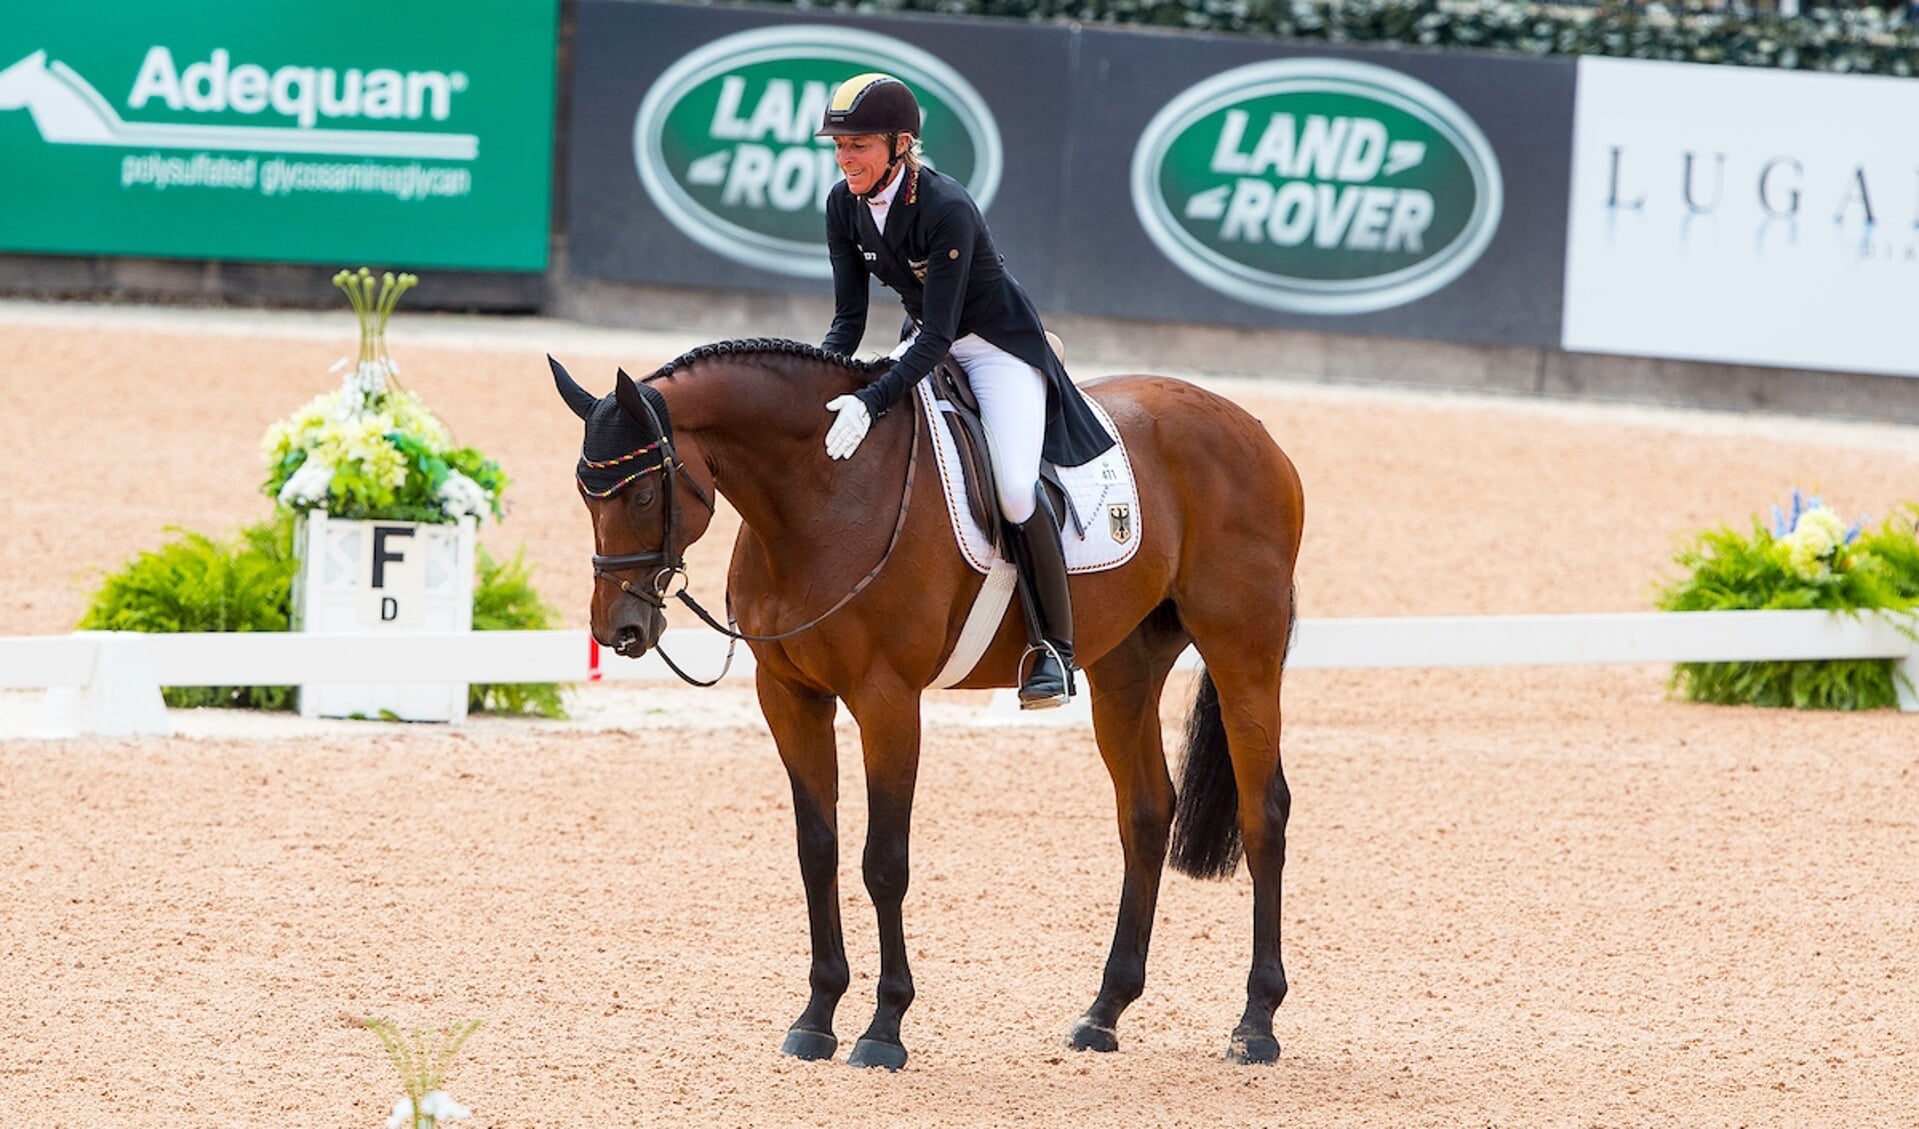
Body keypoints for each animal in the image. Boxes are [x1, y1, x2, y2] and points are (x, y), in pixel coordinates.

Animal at [556, 337, 1304, 1067]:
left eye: (644, 494)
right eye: (586, 497)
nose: (618, 630)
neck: (818, 496)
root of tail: (1253, 428)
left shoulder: (887, 698)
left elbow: (884, 861)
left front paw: (883, 1028)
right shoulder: (791, 696)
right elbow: (817, 850)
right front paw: (816, 1018)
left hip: (1242, 652)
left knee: (1262, 813)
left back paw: (1255, 1025)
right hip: (1125, 666)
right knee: (1146, 812)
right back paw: (1103, 1012)